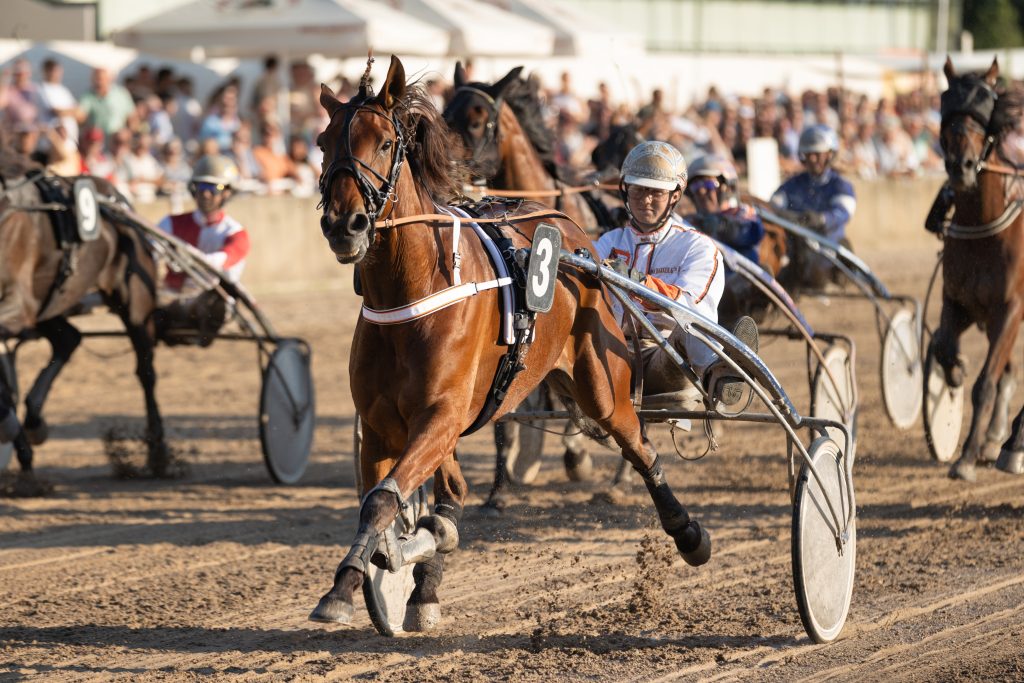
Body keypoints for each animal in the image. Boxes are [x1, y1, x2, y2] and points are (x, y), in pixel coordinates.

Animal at [0, 141, 167, 491]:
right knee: (69, 339)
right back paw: (33, 424)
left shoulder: (16, 304)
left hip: (134, 301)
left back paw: (157, 454)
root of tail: (114, 198)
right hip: (49, 303)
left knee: (146, 372)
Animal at [309, 56, 712, 634]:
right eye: (323, 142)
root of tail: (576, 237)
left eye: (385, 142)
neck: (413, 290)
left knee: (640, 444)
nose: (345, 224)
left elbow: (384, 501)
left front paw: (346, 586)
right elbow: (395, 501)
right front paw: (385, 570)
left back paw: (686, 531)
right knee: (453, 494)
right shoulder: (387, 424)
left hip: (602, 385)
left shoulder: (442, 414)